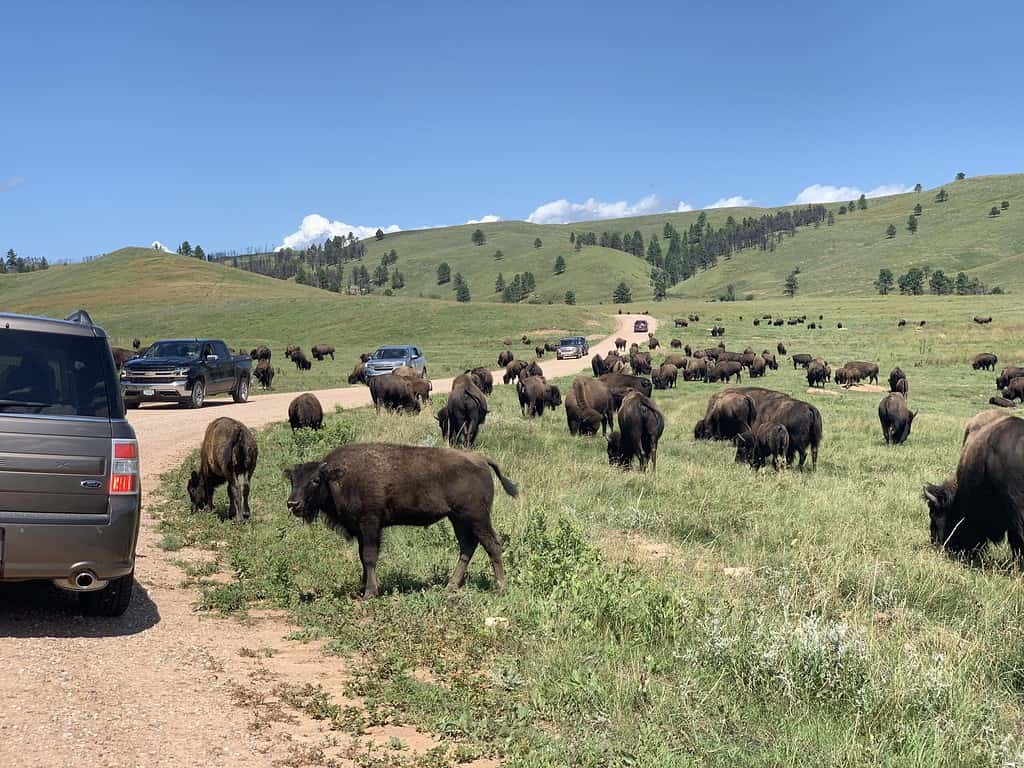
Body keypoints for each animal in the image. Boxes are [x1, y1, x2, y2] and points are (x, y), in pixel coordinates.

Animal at [284, 444, 516, 602]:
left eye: (315, 480)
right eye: (293, 480)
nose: (292, 503)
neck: (340, 478)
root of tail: (481, 459)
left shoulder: (370, 524)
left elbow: (369, 557)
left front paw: (370, 592)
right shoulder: (361, 530)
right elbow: (362, 557)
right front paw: (362, 588)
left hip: (477, 517)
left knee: (492, 544)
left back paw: (500, 588)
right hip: (458, 519)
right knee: (467, 547)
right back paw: (450, 587)